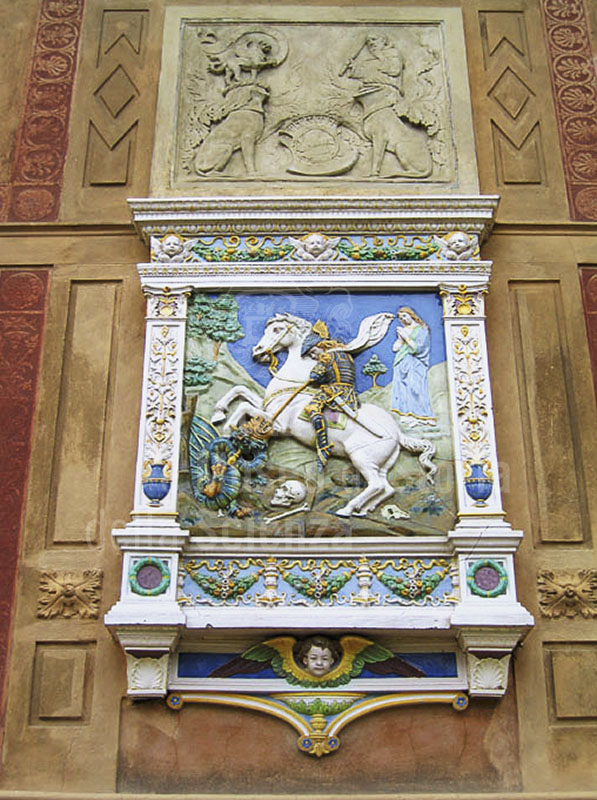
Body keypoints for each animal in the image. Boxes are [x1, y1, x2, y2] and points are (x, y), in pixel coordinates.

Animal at [212, 312, 436, 520]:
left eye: (276, 329)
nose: (257, 352)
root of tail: (398, 433)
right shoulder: (267, 407)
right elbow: (240, 391)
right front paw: (218, 413)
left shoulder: (278, 425)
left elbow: (243, 407)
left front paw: (229, 428)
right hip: (383, 463)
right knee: (387, 488)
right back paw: (364, 510)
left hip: (361, 458)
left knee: (376, 485)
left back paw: (347, 509)